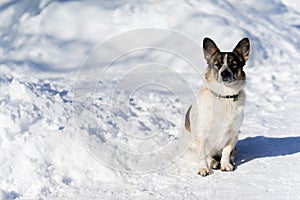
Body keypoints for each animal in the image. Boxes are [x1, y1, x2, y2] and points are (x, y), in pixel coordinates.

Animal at [184, 37, 250, 177]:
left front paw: (226, 165)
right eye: (217, 64)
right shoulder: (201, 135)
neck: (225, 97)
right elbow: (203, 155)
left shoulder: (233, 135)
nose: (224, 73)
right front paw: (203, 168)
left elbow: (226, 151)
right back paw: (213, 163)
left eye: (233, 64)